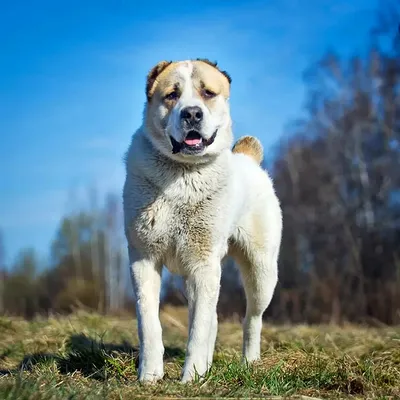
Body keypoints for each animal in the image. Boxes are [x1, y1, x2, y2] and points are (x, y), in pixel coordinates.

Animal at [122, 58, 282, 382]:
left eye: (208, 92)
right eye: (172, 94)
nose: (192, 113)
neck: (182, 174)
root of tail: (248, 158)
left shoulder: (203, 263)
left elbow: (198, 327)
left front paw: (191, 378)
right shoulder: (143, 258)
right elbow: (149, 321)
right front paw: (150, 375)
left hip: (261, 272)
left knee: (252, 318)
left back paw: (249, 362)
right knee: (215, 317)